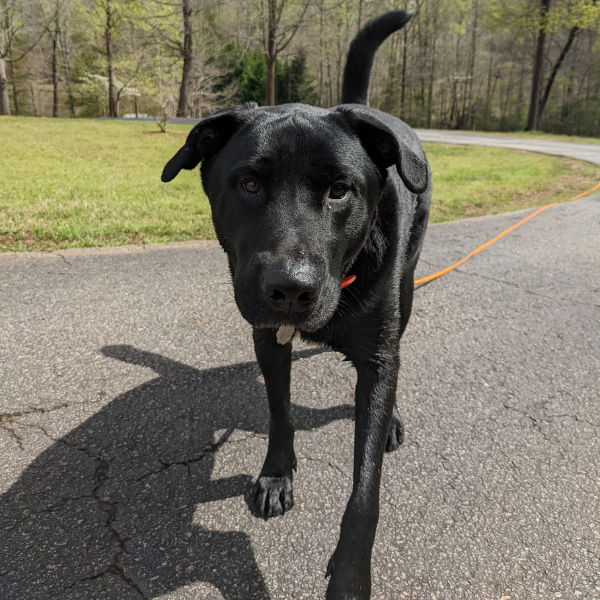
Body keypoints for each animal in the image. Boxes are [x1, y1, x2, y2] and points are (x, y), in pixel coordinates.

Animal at [162, 10, 428, 600]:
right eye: (249, 184)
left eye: (340, 191)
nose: (291, 288)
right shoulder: (268, 337)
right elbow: (280, 411)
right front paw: (276, 475)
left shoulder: (377, 358)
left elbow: (365, 491)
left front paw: (350, 576)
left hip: (407, 291)